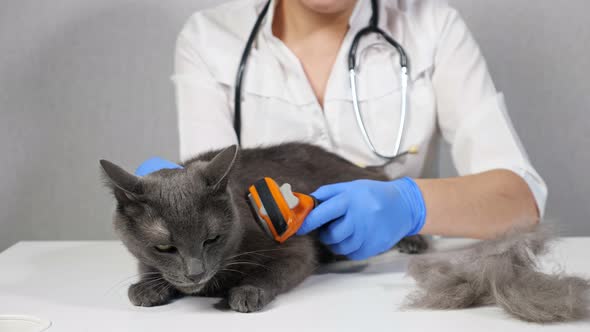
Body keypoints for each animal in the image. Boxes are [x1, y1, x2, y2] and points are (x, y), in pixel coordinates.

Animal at [99, 143, 428, 312]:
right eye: (165, 247)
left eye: (212, 239)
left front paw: (247, 291)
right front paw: (147, 287)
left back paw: (413, 236)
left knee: (392, 187)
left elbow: (274, 269)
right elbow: (148, 267)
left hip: (360, 183)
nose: (195, 273)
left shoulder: (294, 248)